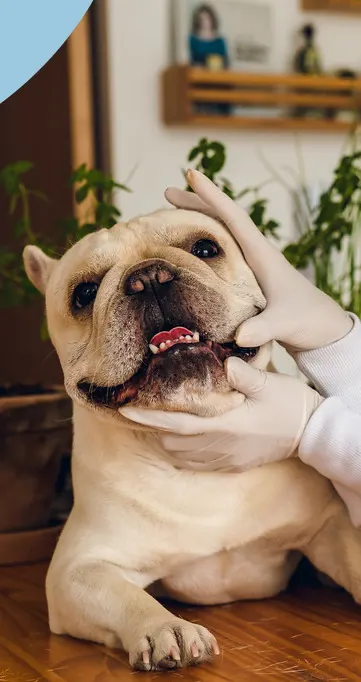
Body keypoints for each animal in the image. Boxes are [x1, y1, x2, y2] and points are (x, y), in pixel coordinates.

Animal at [23, 207, 360, 668]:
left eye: (205, 248)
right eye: (84, 293)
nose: (148, 276)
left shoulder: (330, 529)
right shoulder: (77, 569)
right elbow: (126, 596)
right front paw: (166, 627)